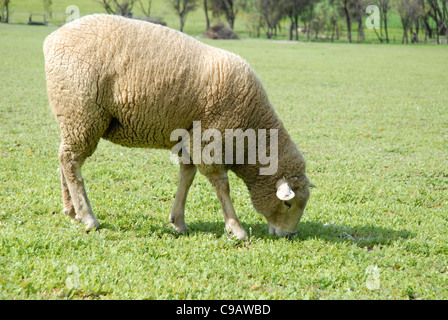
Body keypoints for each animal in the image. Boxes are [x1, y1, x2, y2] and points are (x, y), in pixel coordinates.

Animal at [43, 15, 314, 240]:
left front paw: (178, 222)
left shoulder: (190, 139)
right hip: (82, 114)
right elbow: (221, 184)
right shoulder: (209, 139)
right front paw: (235, 228)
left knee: (64, 159)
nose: (288, 236)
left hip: (71, 116)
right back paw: (88, 217)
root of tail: (51, 39)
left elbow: (187, 177)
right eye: (288, 204)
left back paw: (71, 211)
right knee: (71, 161)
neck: (251, 134)